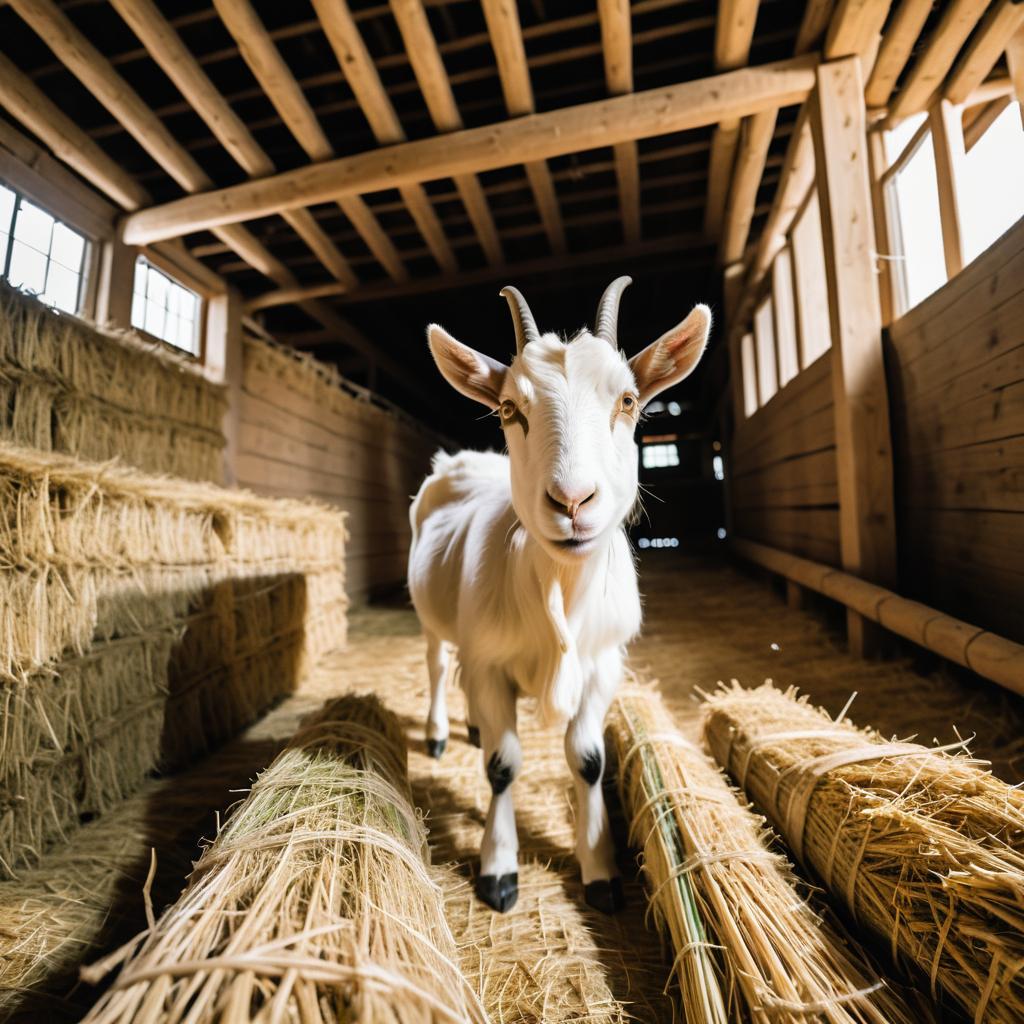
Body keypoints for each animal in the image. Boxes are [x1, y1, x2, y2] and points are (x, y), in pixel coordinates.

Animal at [407, 278, 712, 913]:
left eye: (628, 400)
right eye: (509, 408)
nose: (573, 501)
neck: (558, 595)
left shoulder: (603, 664)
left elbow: (589, 760)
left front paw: (599, 869)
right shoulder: (491, 662)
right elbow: (502, 767)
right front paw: (499, 869)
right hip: (432, 618)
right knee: (438, 664)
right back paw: (442, 732)